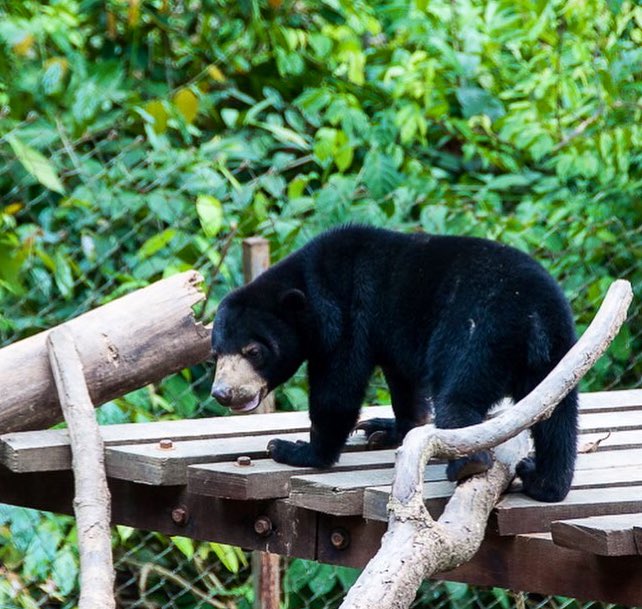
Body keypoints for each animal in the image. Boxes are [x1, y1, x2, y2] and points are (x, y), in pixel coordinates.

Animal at [210, 225, 578, 502]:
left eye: (253, 351)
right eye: (215, 353)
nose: (223, 393)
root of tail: (533, 316)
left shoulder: (345, 316)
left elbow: (338, 388)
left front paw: (296, 449)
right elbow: (404, 384)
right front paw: (383, 429)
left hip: (477, 333)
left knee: (458, 399)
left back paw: (468, 465)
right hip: (558, 357)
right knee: (558, 416)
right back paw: (544, 482)